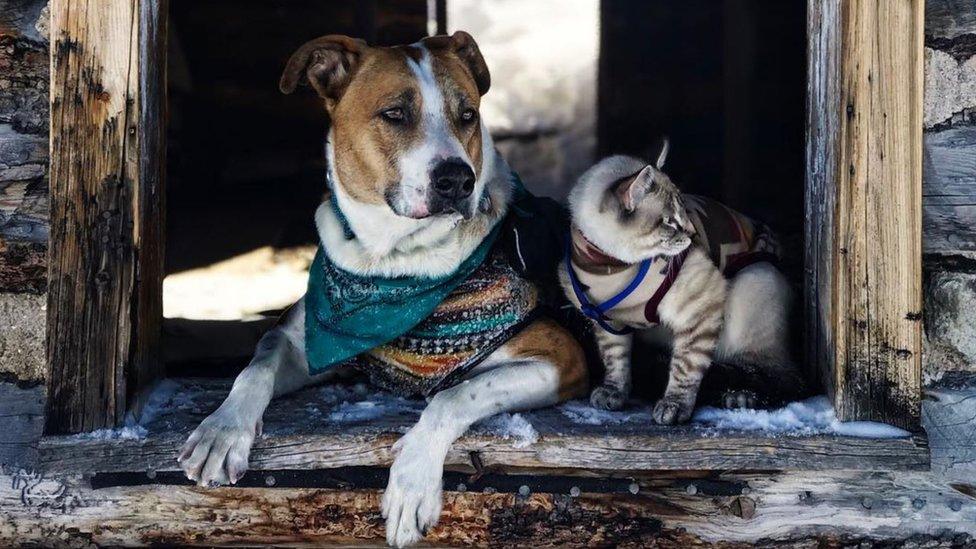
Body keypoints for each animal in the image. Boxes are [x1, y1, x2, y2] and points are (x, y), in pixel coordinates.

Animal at [175, 32, 588, 544]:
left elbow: (455, 395)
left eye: (467, 115)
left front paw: (412, 482)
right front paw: (222, 429)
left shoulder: (561, 357)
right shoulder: (311, 341)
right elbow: (257, 364)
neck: (393, 265)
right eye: (395, 114)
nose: (458, 179)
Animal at [560, 142, 804, 424]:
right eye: (670, 221)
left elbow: (685, 367)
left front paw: (673, 407)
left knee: (780, 375)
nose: (693, 233)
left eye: (686, 212)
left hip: (755, 279)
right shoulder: (607, 319)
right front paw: (614, 393)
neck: (612, 264)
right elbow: (616, 360)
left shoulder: (699, 310)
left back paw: (741, 397)